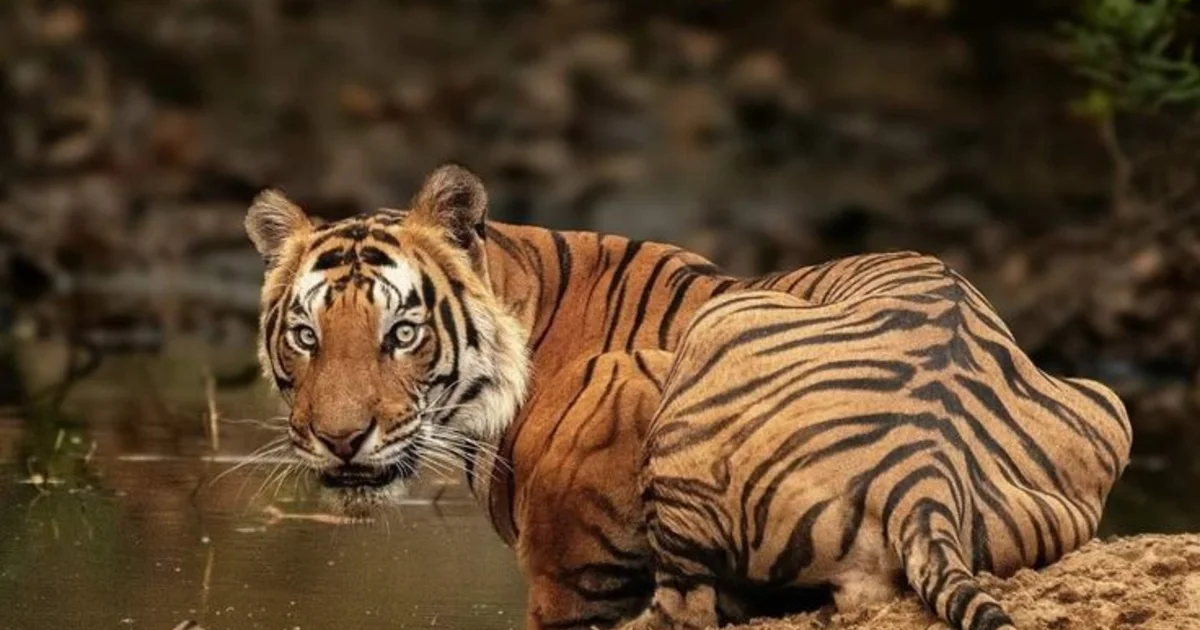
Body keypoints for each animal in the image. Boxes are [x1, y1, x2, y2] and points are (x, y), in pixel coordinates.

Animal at [244, 163, 1130, 630]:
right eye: (306, 336)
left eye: (402, 333)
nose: (342, 439)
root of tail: (926, 471)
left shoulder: (569, 573)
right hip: (1105, 397)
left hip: (670, 361)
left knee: (685, 606)